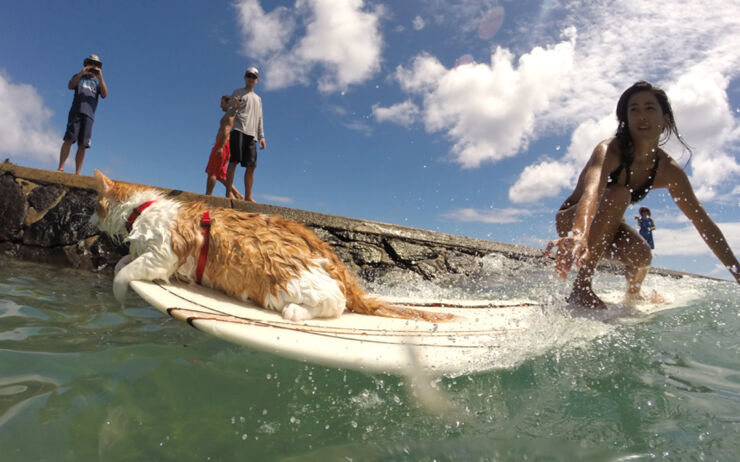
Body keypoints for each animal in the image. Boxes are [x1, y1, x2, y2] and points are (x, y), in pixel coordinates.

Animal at [91, 170, 450, 322]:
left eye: (95, 205)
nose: (90, 220)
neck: (143, 209)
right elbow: (122, 262)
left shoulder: (164, 255)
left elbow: (125, 272)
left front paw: (119, 297)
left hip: (286, 280)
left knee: (334, 304)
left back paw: (297, 312)